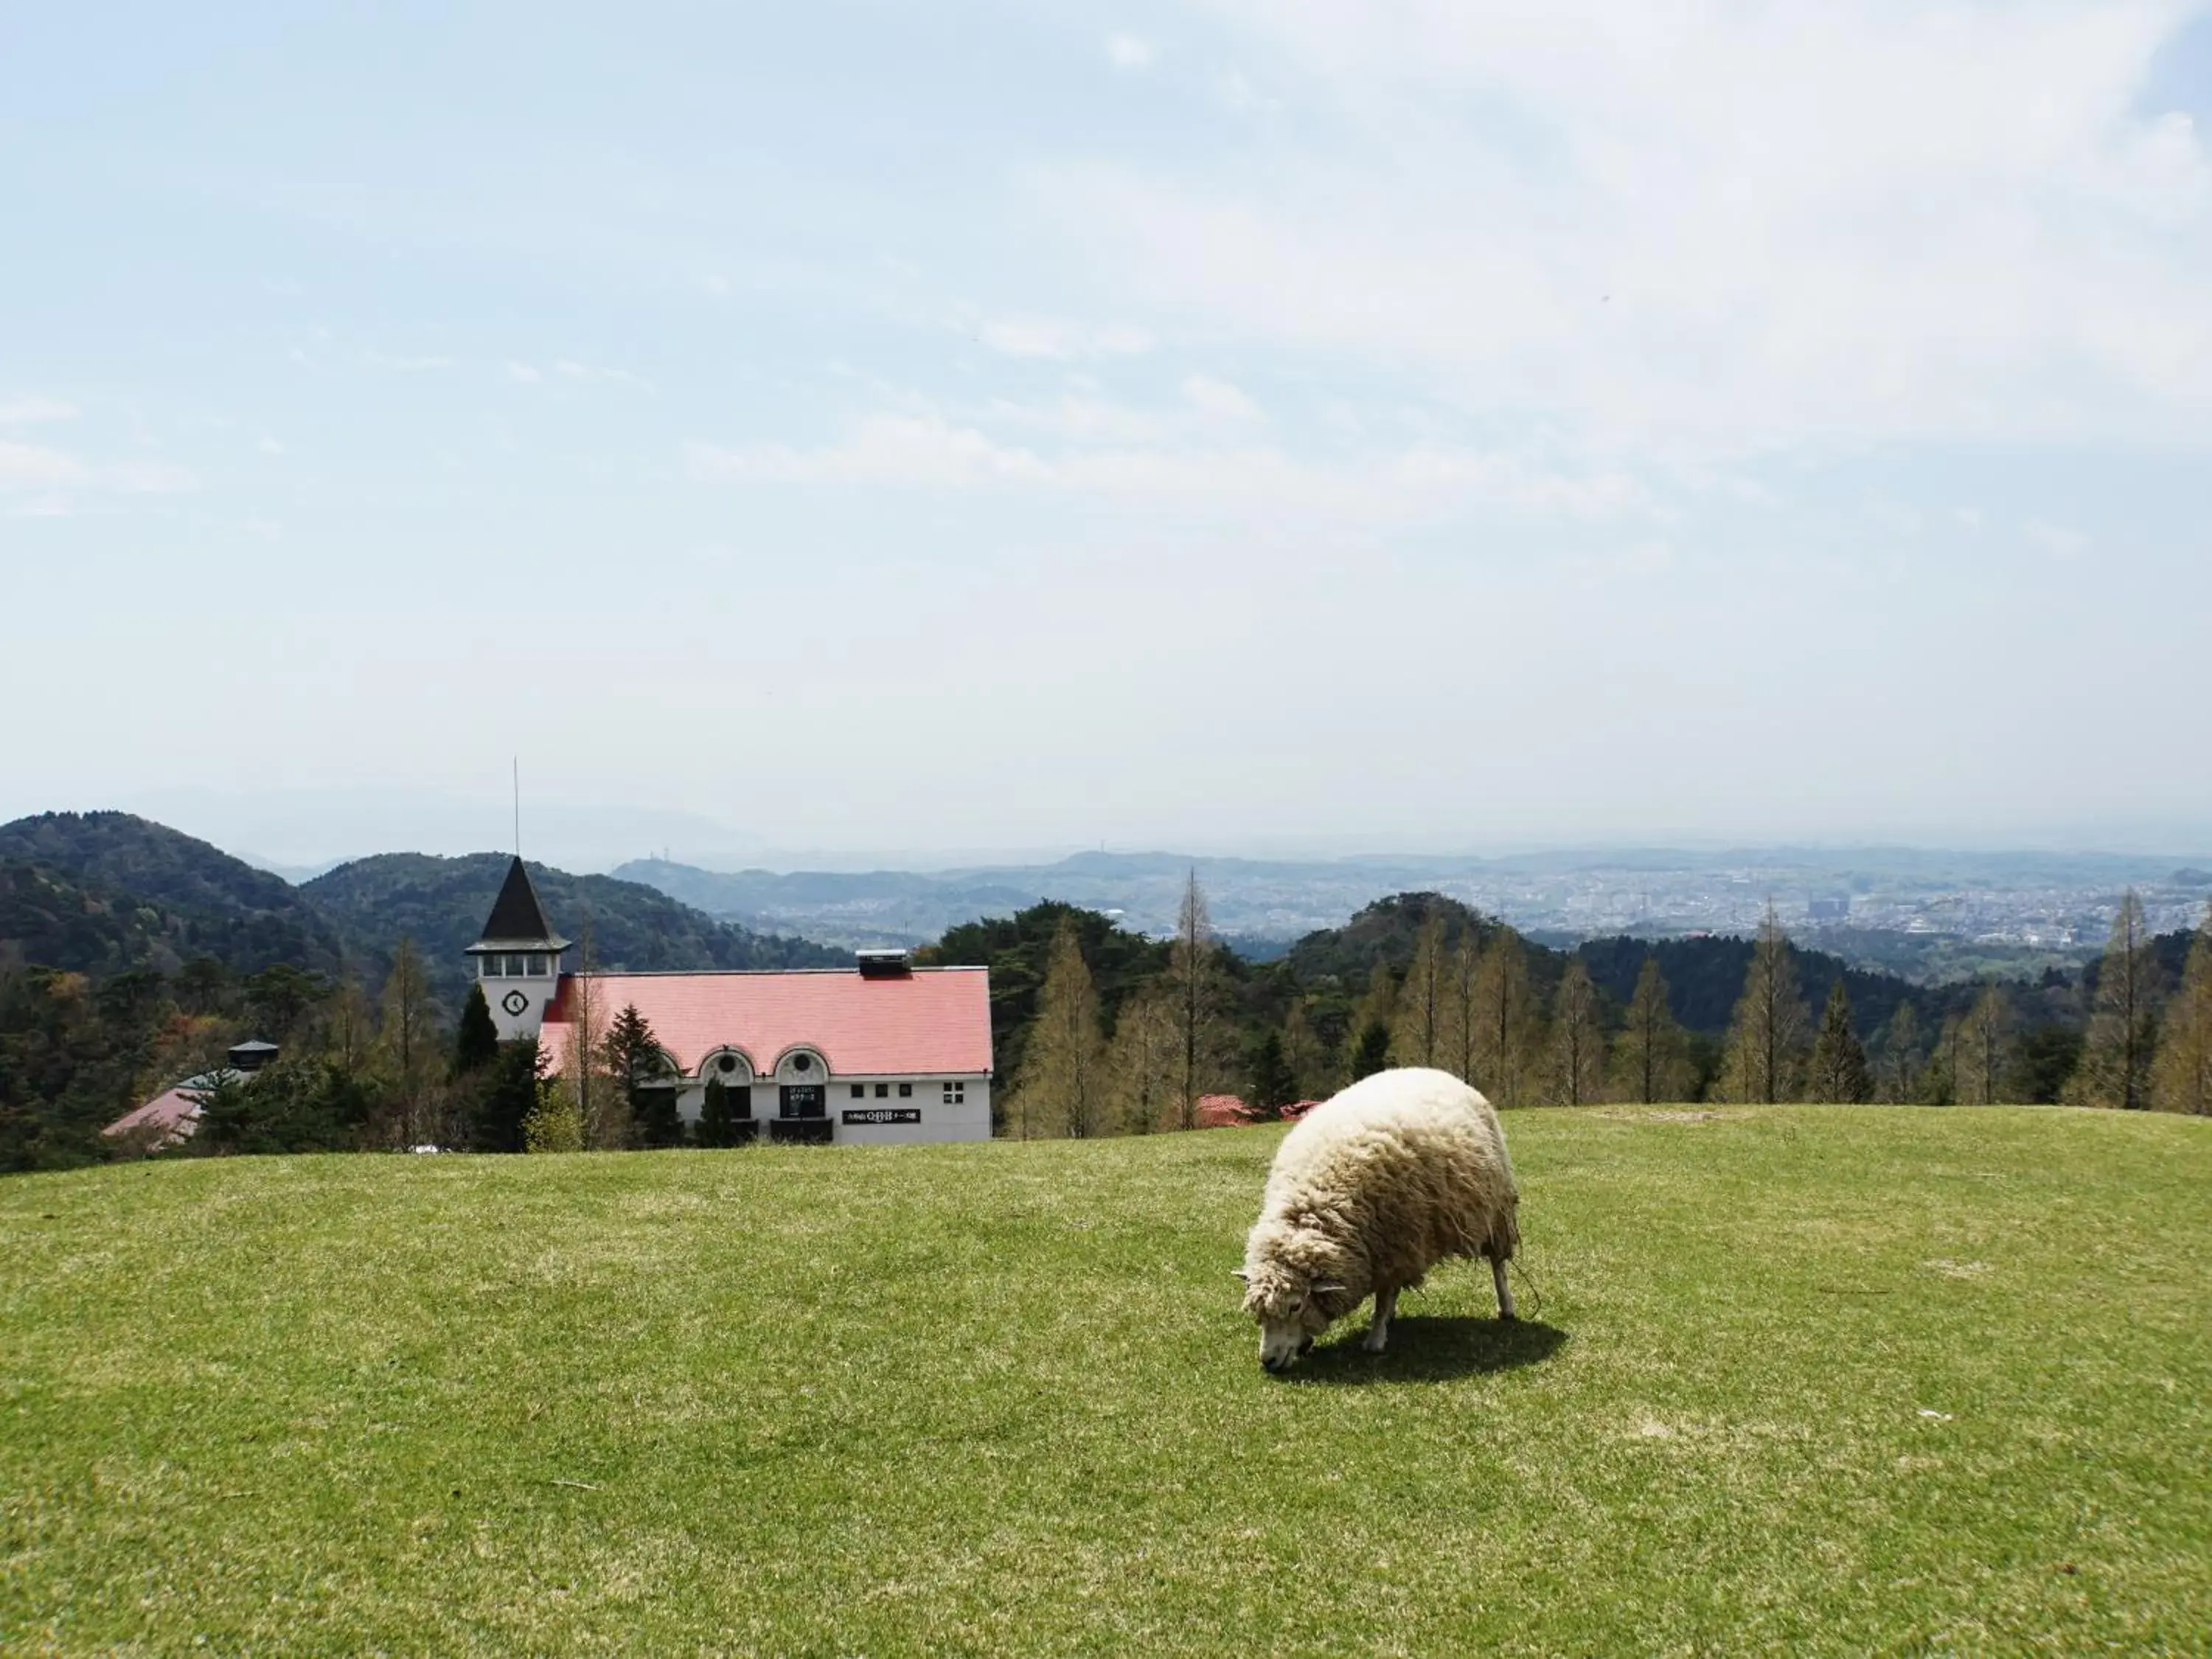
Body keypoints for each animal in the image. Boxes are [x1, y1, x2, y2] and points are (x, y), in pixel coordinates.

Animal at [1230, 1071, 1522, 1371]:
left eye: (1296, 1305)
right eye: (1259, 1313)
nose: (1268, 1361)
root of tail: (1436, 1072)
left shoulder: (1395, 1246)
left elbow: (1383, 1299)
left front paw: (1375, 1339)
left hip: (1496, 1211)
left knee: (1498, 1264)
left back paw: (1506, 1306)